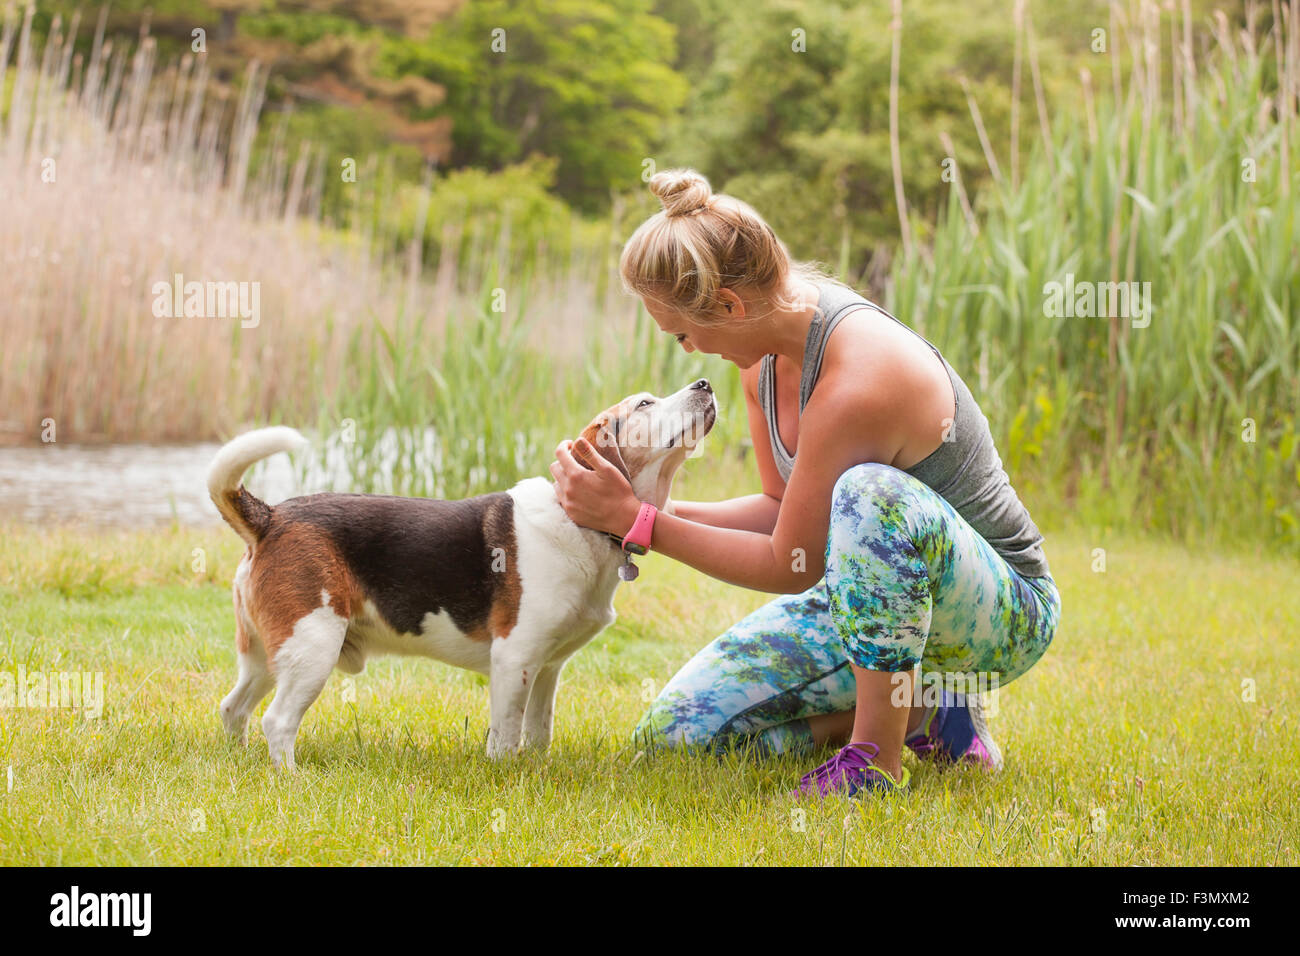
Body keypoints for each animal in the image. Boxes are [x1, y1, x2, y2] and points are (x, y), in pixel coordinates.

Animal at [208, 379, 717, 770]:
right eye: (645, 404)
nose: (705, 384)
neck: (578, 521)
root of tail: (271, 516)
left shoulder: (547, 667)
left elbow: (538, 732)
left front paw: (537, 771)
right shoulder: (514, 660)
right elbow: (507, 736)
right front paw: (506, 778)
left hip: (269, 655)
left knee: (233, 708)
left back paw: (240, 760)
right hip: (313, 646)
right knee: (277, 721)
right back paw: (291, 779)